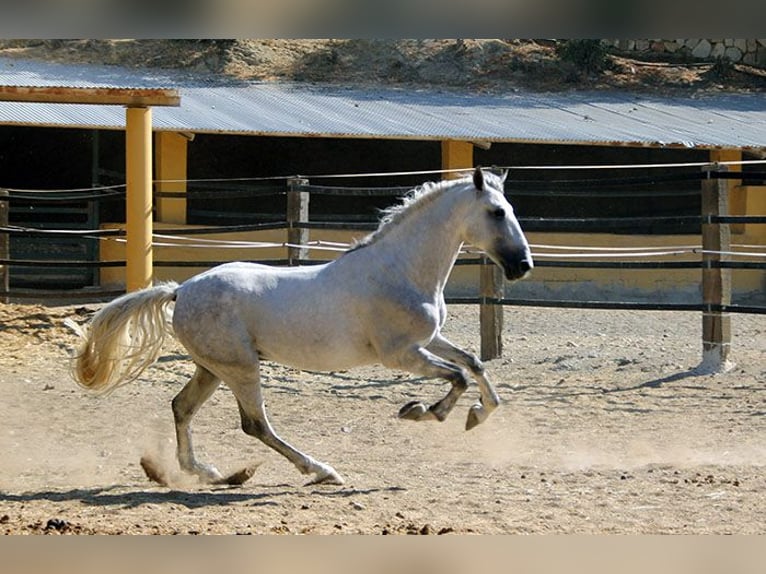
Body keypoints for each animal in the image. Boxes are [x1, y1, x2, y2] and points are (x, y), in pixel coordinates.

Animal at [72, 169, 536, 488]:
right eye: (497, 212)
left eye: (513, 210)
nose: (522, 266)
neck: (400, 271)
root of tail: (181, 289)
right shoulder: (401, 354)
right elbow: (457, 377)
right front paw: (422, 411)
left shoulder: (429, 340)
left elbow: (474, 364)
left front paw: (478, 414)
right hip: (241, 368)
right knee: (255, 425)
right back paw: (321, 471)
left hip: (213, 368)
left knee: (182, 407)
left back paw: (209, 472)